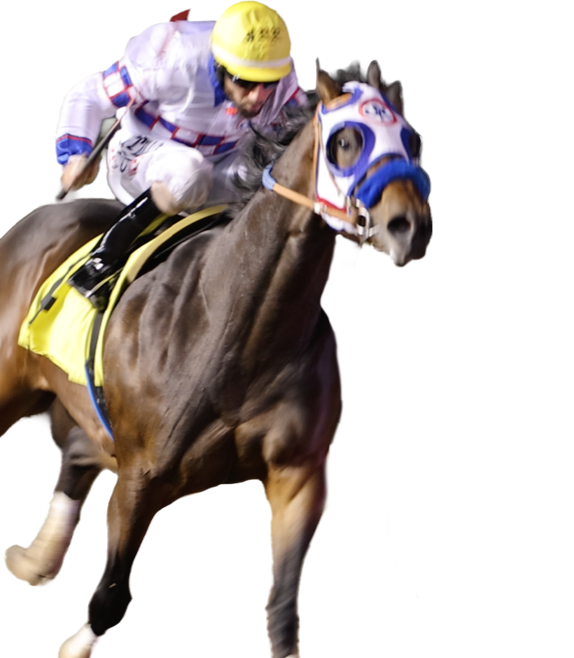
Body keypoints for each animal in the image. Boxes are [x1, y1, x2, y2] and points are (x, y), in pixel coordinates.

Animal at [0, 59, 431, 658]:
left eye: (412, 139)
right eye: (347, 141)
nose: (409, 227)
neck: (239, 329)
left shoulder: (299, 476)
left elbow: (281, 614)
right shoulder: (142, 473)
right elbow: (110, 589)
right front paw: (78, 644)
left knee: (80, 454)